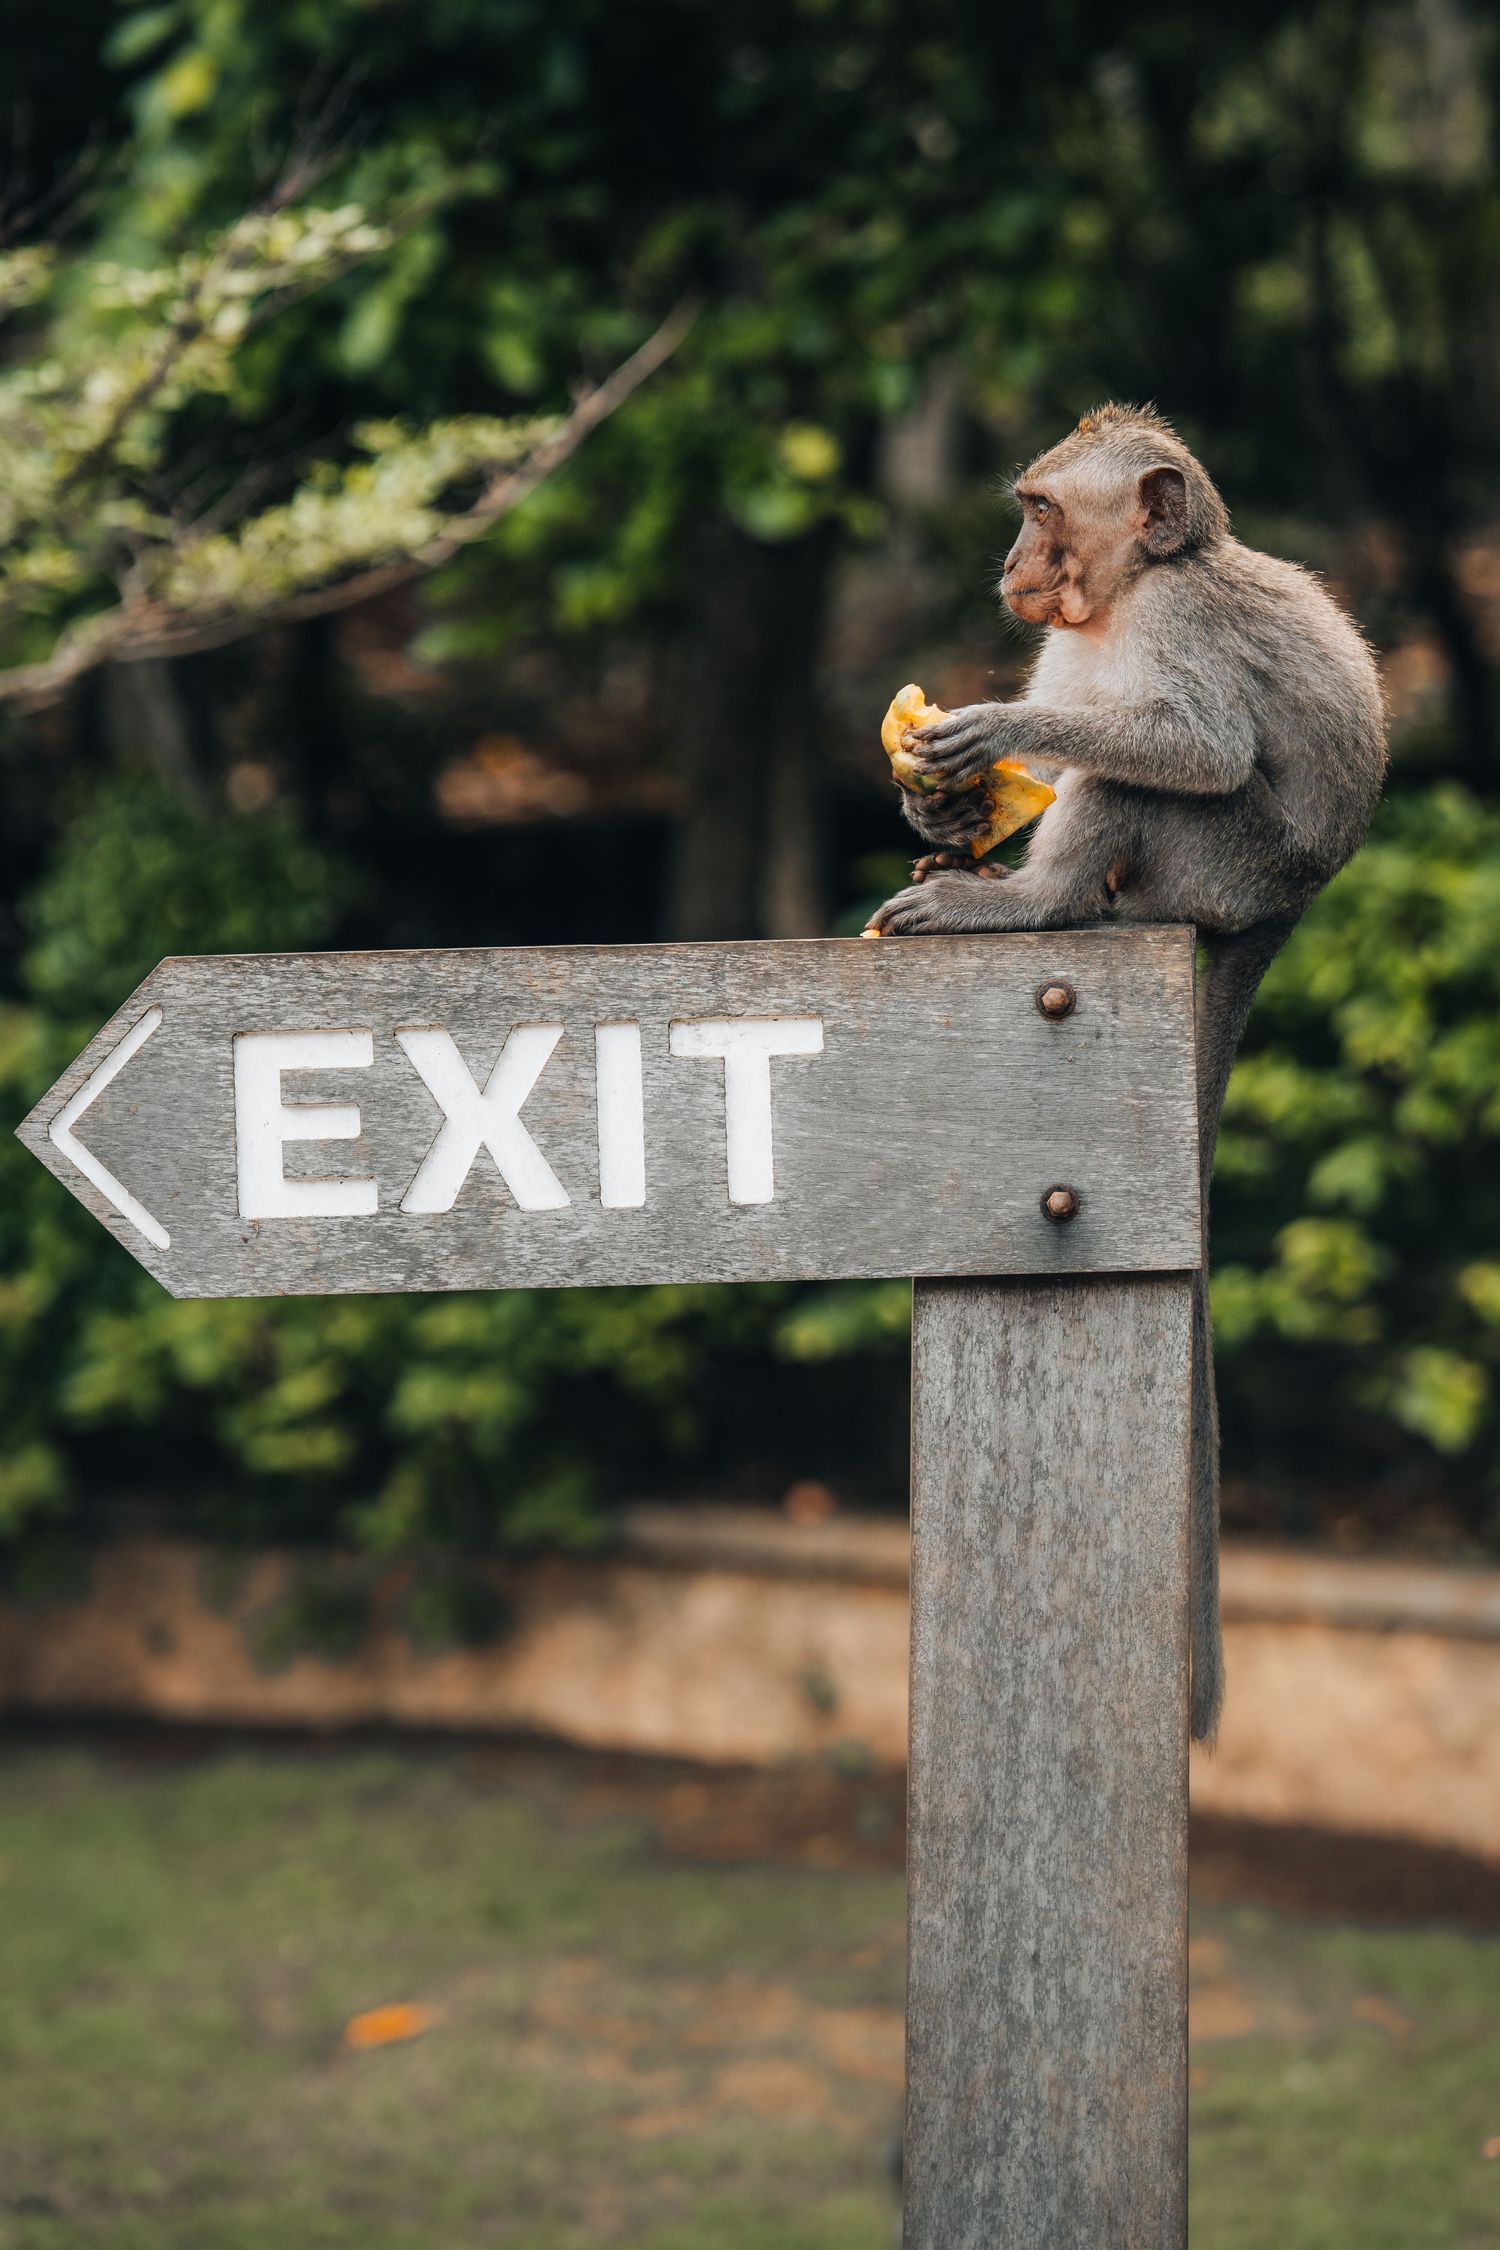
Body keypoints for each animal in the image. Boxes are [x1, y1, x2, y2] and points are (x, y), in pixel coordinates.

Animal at [866, 404, 1387, 1744]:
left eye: (1042, 511)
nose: (1010, 567)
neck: (1127, 596)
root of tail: (1290, 906)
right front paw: (943, 805)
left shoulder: (1180, 629)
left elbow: (1193, 749)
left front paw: (999, 736)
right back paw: (991, 878)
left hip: (1219, 866)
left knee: (1138, 784)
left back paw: (1031, 905)